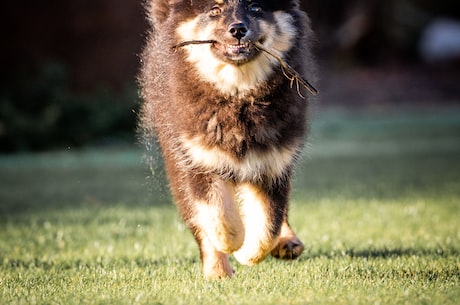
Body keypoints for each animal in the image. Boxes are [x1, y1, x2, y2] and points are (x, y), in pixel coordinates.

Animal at [139, 0, 316, 278]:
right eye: (215, 9)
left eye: (255, 8)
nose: (238, 30)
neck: (237, 94)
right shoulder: (198, 161)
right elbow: (218, 216)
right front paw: (232, 243)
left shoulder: (272, 162)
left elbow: (269, 223)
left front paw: (249, 251)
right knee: (201, 224)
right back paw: (217, 270)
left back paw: (287, 241)